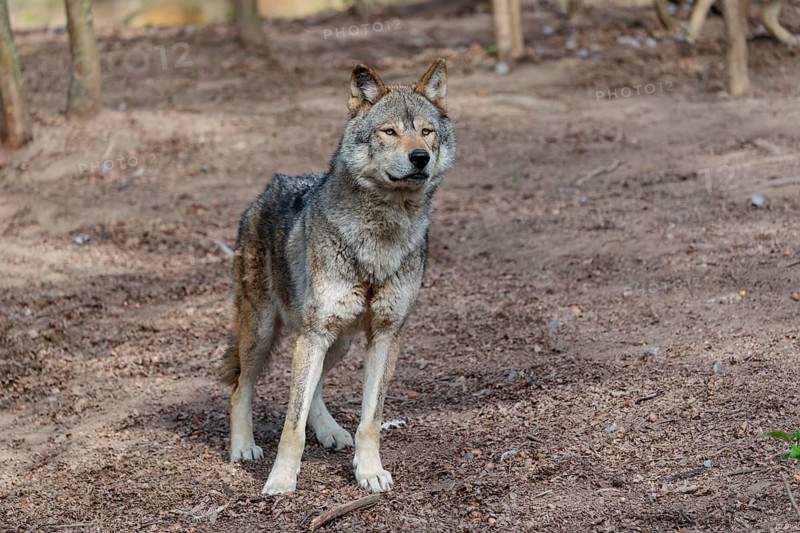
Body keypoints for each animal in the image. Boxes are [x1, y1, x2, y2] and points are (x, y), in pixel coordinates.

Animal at [220, 59, 456, 495]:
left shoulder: (386, 335)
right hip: (265, 332)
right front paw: (281, 480)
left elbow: (370, 420)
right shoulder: (315, 334)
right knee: (241, 387)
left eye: (426, 131)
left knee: (314, 389)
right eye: (389, 131)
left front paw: (369, 471)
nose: (420, 157)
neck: (381, 234)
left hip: (338, 341)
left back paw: (329, 431)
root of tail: (269, 186)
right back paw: (243, 447)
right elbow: (291, 427)